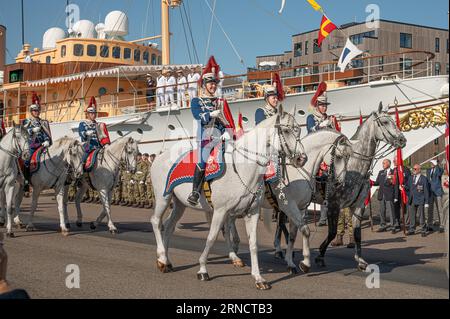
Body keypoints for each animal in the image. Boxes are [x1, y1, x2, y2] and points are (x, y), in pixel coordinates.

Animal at [151, 106, 306, 292]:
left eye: (298, 129)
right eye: (286, 130)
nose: (302, 158)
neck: (243, 168)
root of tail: (160, 155)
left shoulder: (252, 212)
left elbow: (253, 243)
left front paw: (258, 278)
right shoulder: (220, 211)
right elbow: (211, 237)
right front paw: (202, 269)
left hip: (180, 204)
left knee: (168, 226)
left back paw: (165, 261)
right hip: (163, 198)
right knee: (156, 222)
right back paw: (161, 257)